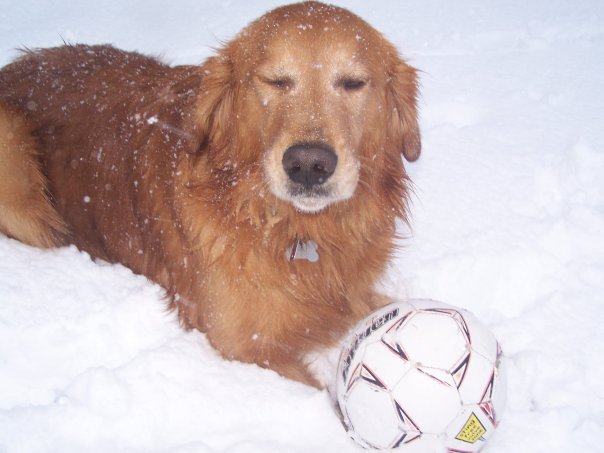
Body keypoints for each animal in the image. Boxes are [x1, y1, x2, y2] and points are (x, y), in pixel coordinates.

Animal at [0, 1, 420, 386]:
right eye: (275, 81)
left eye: (353, 83)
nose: (308, 164)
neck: (291, 228)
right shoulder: (243, 344)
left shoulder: (354, 295)